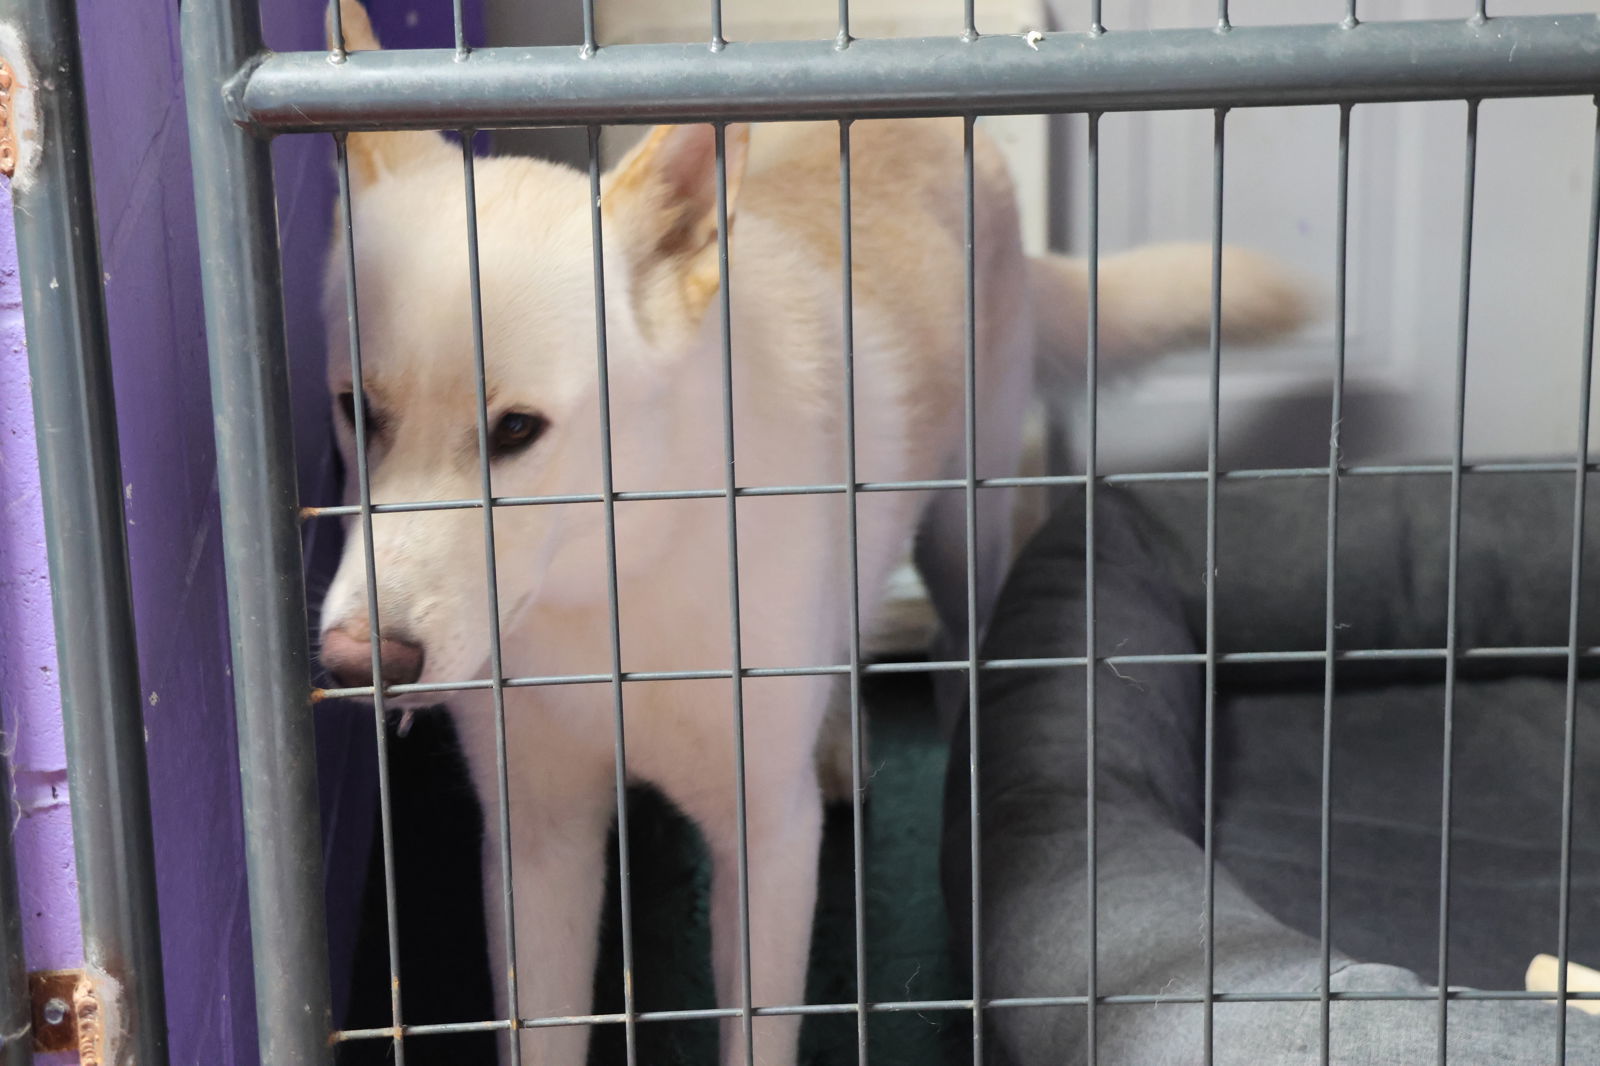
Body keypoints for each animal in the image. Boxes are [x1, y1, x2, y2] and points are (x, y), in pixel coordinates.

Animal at [318, 4, 1305, 1056]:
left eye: (515, 430)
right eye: (356, 411)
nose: (356, 662)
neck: (620, 580)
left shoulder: (767, 843)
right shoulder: (537, 842)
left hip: (965, 519)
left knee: (956, 646)